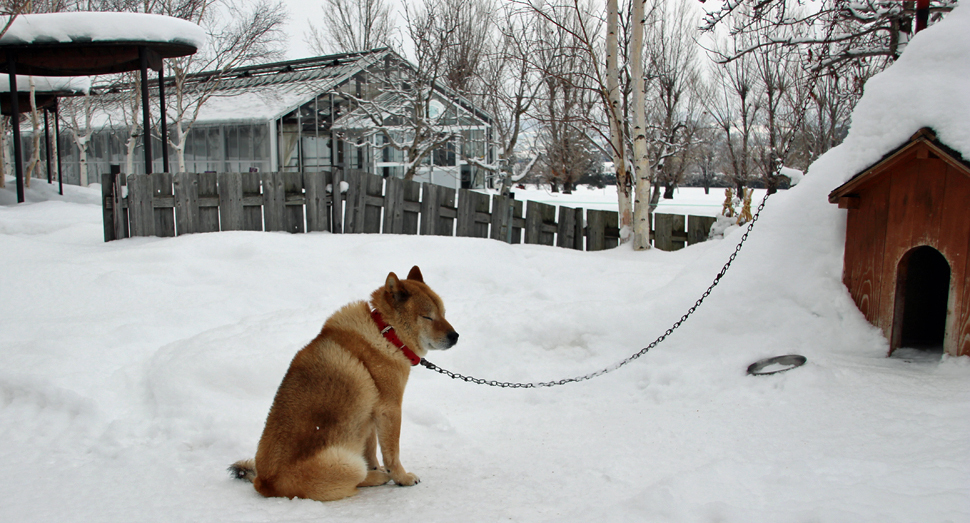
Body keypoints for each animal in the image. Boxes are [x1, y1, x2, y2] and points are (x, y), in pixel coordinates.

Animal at [234, 268, 462, 502]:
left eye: (443, 313)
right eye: (427, 316)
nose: (455, 336)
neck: (386, 334)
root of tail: (264, 483)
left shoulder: (369, 417)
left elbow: (372, 452)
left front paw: (380, 468)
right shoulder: (389, 410)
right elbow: (392, 454)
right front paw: (401, 477)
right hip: (347, 463)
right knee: (357, 478)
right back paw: (378, 478)